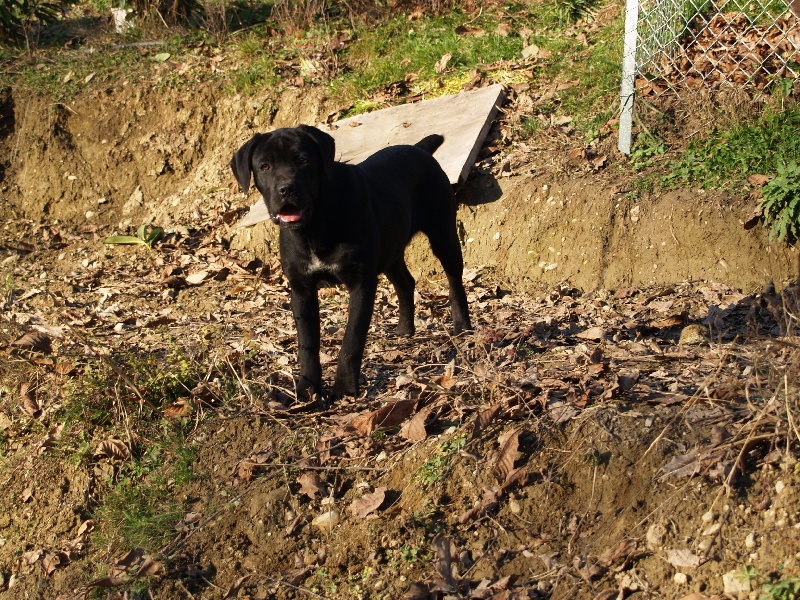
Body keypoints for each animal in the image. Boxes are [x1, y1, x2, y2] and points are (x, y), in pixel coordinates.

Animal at [230, 125, 468, 398]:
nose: (286, 189)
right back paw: (404, 329)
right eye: (265, 166)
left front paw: (344, 387)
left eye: (303, 160)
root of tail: (419, 149)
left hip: (443, 234)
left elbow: (351, 340)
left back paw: (463, 325)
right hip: (391, 250)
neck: (315, 227)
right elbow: (307, 345)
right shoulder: (302, 288)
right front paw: (307, 388)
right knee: (406, 283)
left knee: (454, 279)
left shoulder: (361, 282)